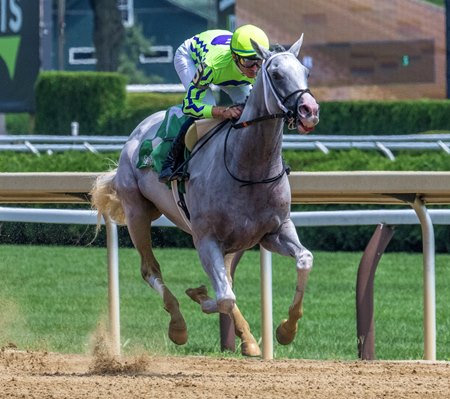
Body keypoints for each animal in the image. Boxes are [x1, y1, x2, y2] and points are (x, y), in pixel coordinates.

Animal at [90, 36, 320, 358]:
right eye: (276, 74)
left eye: (306, 72)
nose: (309, 110)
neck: (248, 167)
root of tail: (138, 131)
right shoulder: (205, 238)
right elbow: (224, 297)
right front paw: (197, 294)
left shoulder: (273, 231)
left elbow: (304, 260)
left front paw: (286, 330)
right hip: (137, 213)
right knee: (151, 270)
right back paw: (178, 326)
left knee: (226, 278)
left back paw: (248, 339)